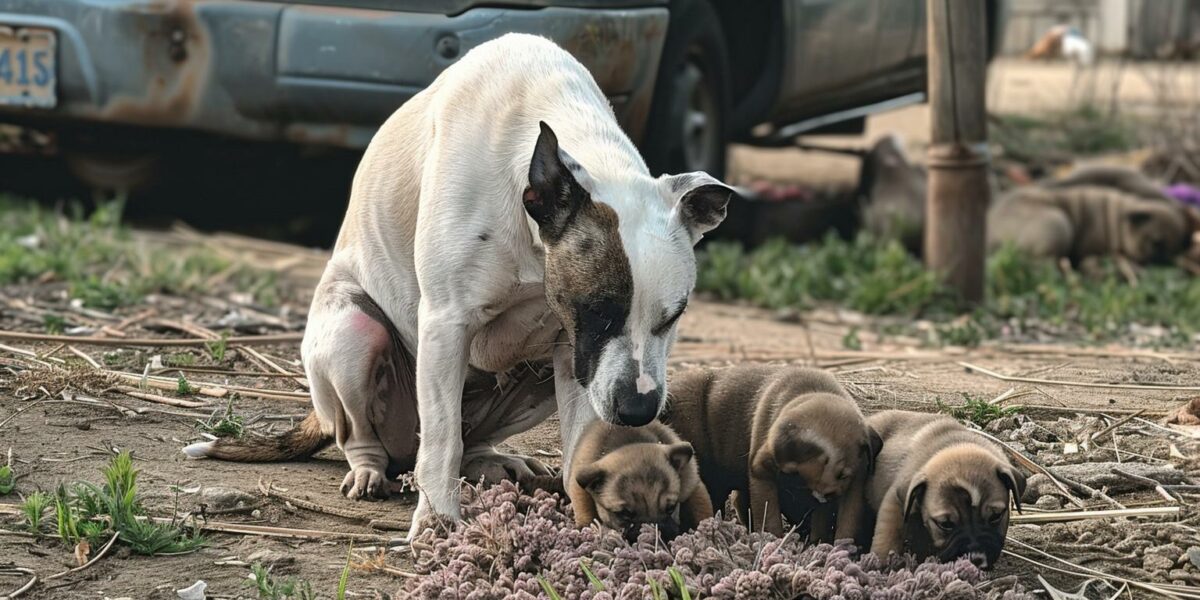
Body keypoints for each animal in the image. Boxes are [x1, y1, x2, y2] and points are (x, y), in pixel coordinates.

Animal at [564, 420, 705, 542]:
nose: (657, 533)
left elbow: (702, 509)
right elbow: (585, 513)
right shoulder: (580, 493)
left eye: (671, 508)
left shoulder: (693, 486)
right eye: (625, 513)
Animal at [667, 362, 883, 542]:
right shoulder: (763, 475)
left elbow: (831, 519)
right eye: (791, 476)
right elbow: (769, 514)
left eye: (843, 475)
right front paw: (775, 541)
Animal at [868, 410, 1027, 568]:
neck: (956, 445)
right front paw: (880, 562)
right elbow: (888, 535)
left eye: (996, 516)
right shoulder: (895, 501)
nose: (976, 559)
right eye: (946, 524)